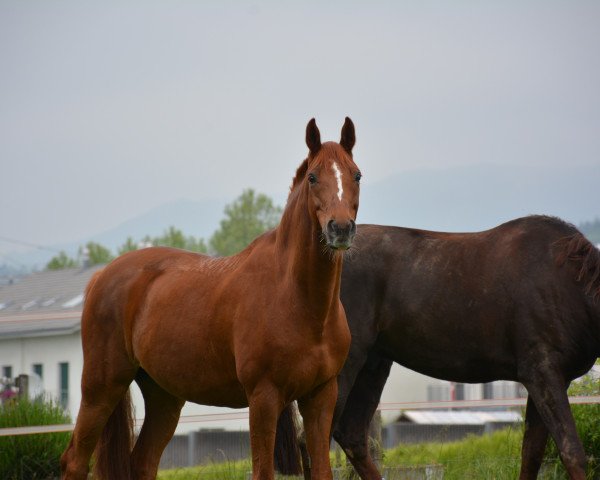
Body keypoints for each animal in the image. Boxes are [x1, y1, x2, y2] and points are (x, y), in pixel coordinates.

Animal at [61, 117, 364, 480]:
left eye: (356, 175)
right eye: (313, 177)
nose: (340, 229)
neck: (299, 302)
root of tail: (101, 276)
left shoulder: (321, 397)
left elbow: (321, 470)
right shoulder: (263, 398)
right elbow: (262, 471)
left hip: (164, 397)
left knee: (143, 461)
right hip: (101, 388)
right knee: (75, 461)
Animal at [284, 217, 600, 480]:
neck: (567, 284)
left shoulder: (542, 381)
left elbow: (531, 456)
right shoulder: (544, 375)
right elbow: (572, 452)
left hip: (373, 365)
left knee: (351, 435)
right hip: (346, 366)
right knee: (313, 442)